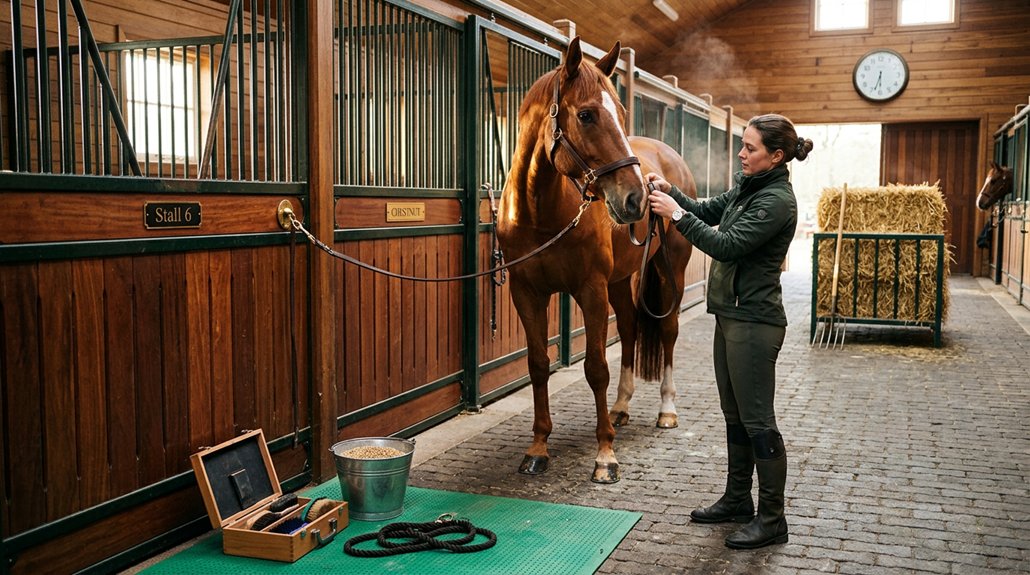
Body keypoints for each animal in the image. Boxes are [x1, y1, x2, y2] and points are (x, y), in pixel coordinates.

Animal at [496, 37, 696, 484]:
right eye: (586, 115)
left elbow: (596, 367)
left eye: (621, 114)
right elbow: (538, 365)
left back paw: (667, 410)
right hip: (621, 282)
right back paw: (621, 408)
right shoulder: (526, 293)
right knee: (631, 328)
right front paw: (538, 448)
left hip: (669, 271)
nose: (637, 199)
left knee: (668, 331)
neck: (542, 214)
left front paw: (605, 456)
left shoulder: (590, 291)